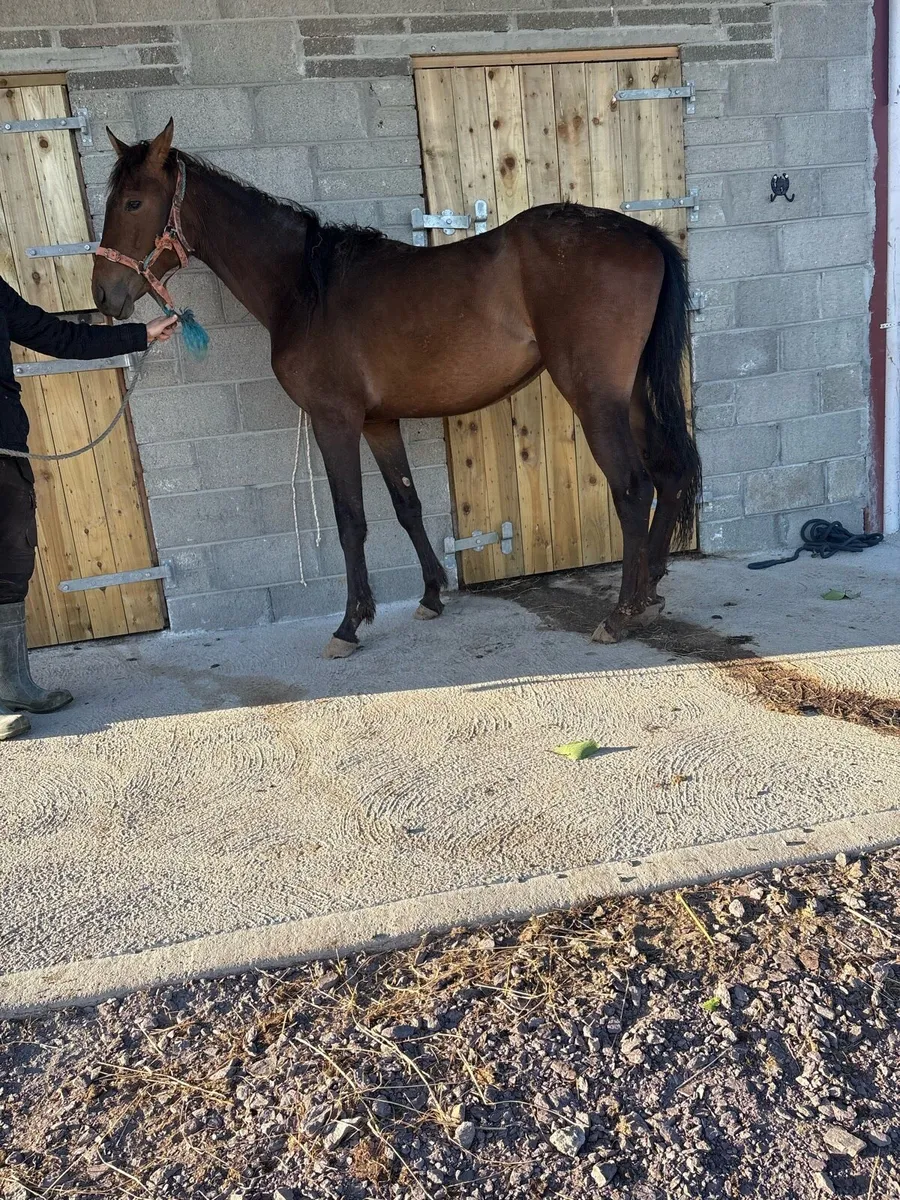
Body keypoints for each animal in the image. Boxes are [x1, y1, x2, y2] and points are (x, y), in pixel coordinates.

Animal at [92, 119, 701, 660]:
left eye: (133, 204)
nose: (103, 295)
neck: (306, 287)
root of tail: (643, 234)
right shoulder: (379, 422)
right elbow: (406, 503)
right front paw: (431, 595)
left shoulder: (334, 421)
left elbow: (350, 519)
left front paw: (348, 623)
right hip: (631, 395)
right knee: (670, 472)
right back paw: (648, 593)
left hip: (595, 397)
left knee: (632, 488)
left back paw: (619, 614)